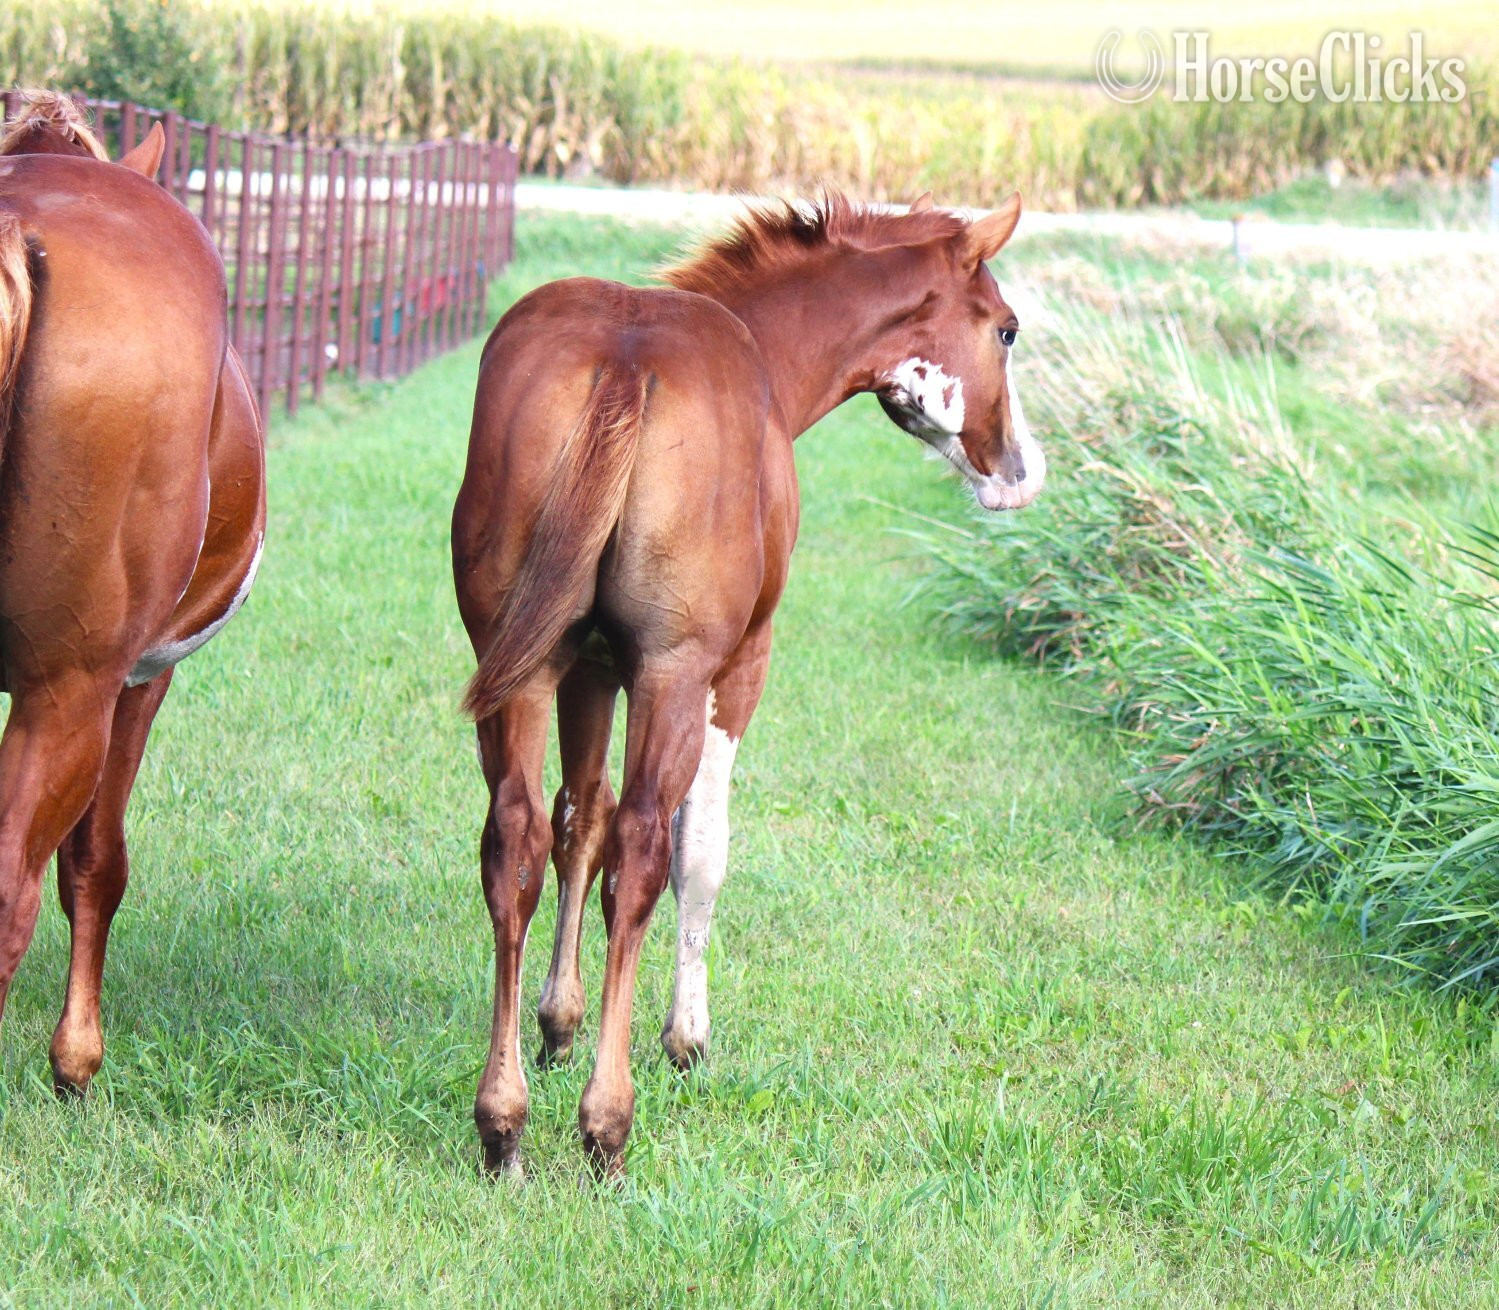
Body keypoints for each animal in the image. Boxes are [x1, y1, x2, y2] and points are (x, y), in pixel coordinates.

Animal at [451, 189, 1043, 1177]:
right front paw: (684, 1037)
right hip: (676, 676)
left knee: (518, 841)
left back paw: (503, 1125)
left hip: (519, 669)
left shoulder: (587, 670)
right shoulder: (734, 671)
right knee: (646, 849)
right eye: (1003, 329)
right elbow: (695, 851)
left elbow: (580, 823)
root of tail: (626, 362)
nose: (1018, 473)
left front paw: (558, 1021)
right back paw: (606, 1126)